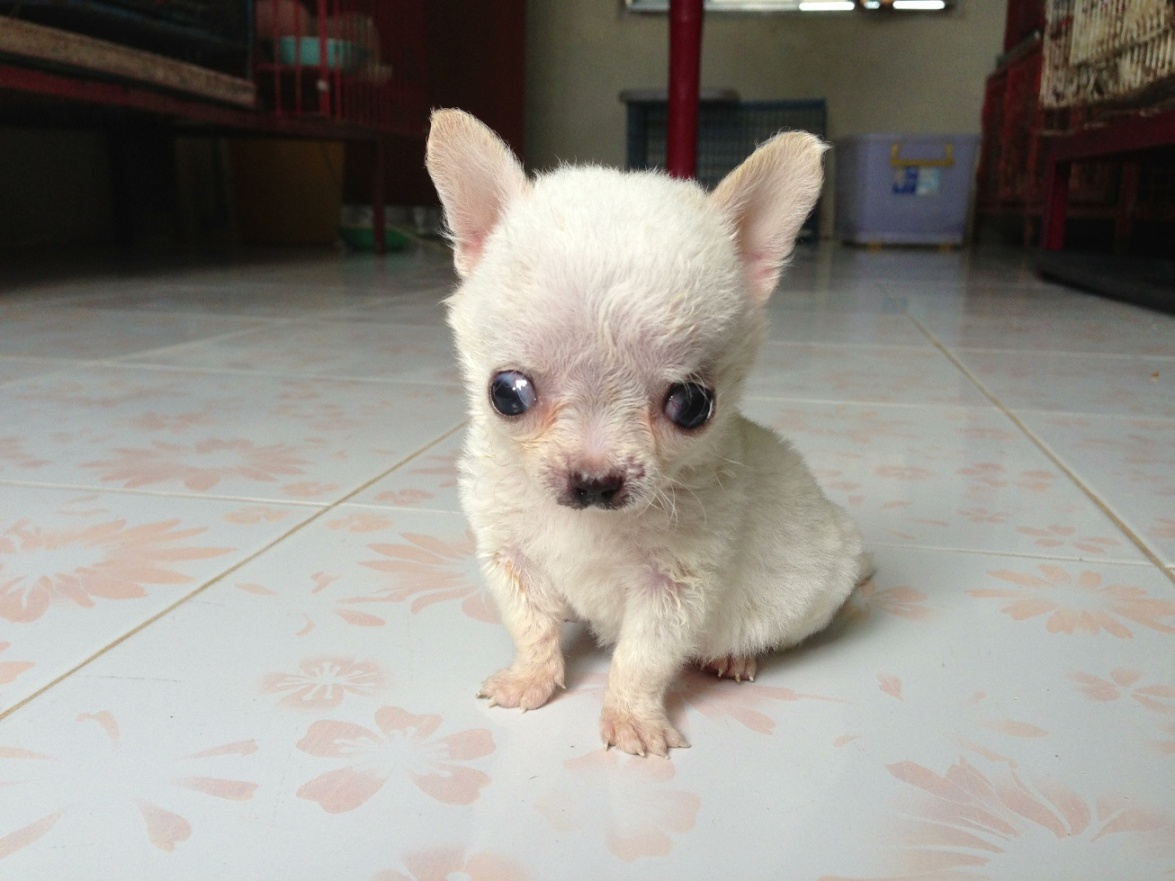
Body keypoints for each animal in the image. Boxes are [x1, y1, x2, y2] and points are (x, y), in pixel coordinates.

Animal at [426, 109, 870, 757]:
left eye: (693, 406)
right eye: (506, 394)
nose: (592, 480)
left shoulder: (675, 587)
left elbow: (642, 658)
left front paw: (631, 716)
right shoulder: (512, 558)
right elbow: (532, 626)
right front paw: (531, 678)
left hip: (804, 597)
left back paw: (737, 656)